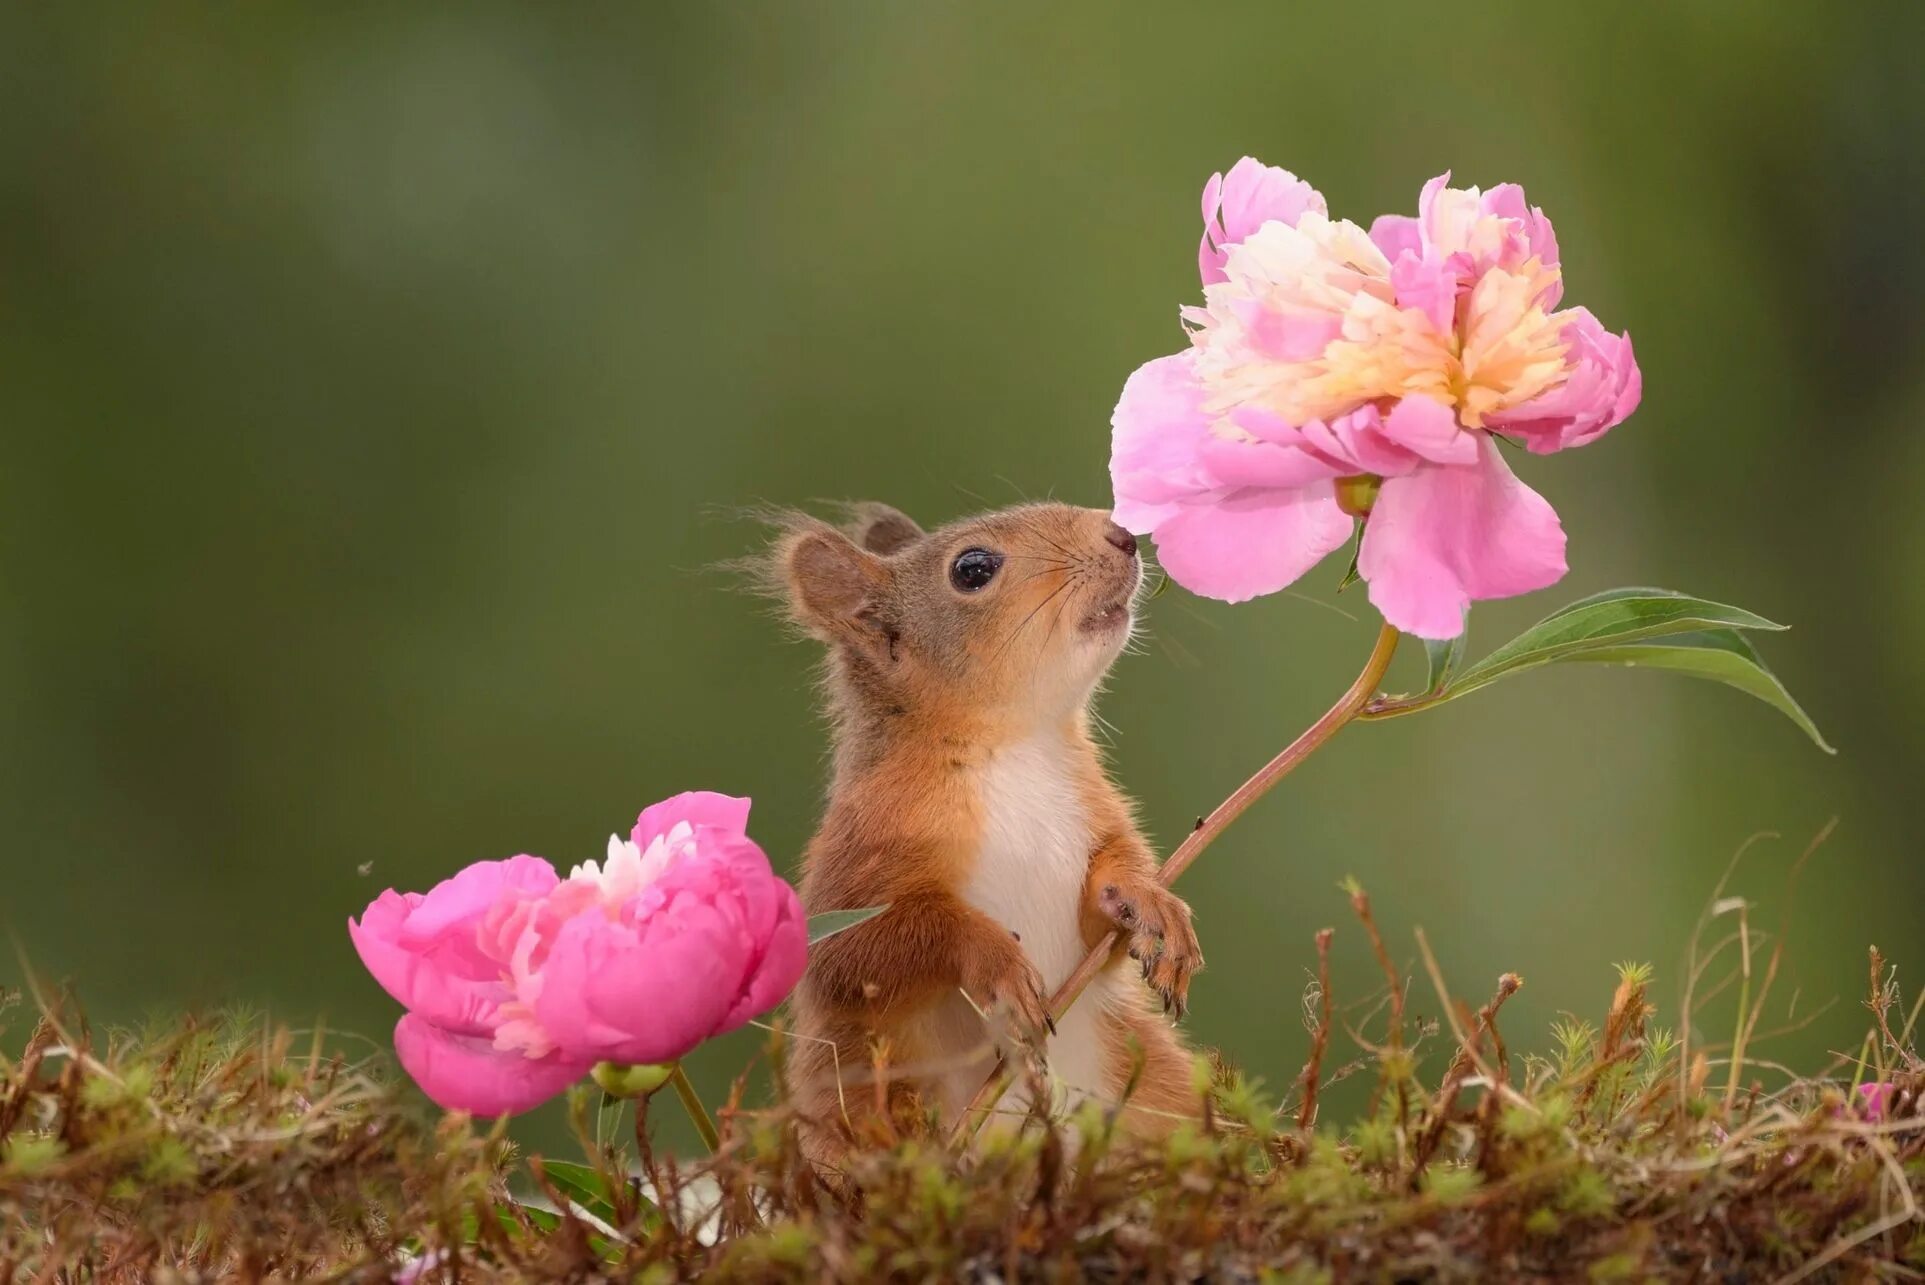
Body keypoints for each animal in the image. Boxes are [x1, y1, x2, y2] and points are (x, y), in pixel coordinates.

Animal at [766, 496, 1201, 1161]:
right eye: (972, 569)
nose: (1123, 535)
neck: (1012, 744)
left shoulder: (1092, 810)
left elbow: (1105, 907)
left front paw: (1150, 902)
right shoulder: (860, 851)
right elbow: (858, 953)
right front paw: (996, 963)